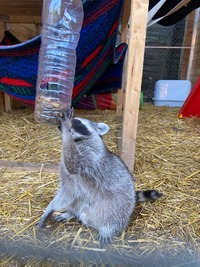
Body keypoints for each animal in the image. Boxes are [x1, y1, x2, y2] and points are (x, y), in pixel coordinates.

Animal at [38, 109, 162, 245]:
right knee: (75, 199)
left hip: (119, 204)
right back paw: (73, 213)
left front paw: (66, 127)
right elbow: (67, 191)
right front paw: (51, 207)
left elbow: (73, 163)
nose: (59, 126)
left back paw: (107, 228)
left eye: (77, 122)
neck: (78, 139)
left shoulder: (91, 154)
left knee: (113, 212)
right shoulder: (68, 176)